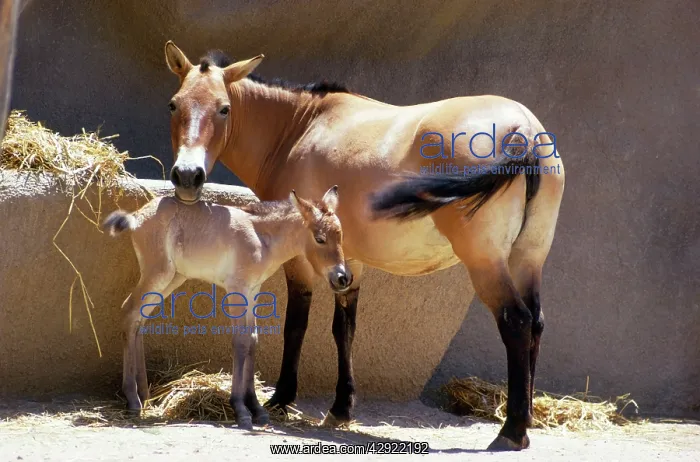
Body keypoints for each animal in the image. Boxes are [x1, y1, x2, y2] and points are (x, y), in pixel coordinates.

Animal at [102, 185, 351, 430]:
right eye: (319, 238)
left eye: (340, 236)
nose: (342, 278)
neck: (261, 237)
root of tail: (136, 216)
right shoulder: (237, 289)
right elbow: (241, 342)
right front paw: (240, 409)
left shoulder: (253, 291)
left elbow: (252, 340)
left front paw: (256, 408)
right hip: (158, 274)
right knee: (129, 312)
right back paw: (133, 400)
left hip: (172, 278)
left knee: (138, 320)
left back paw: (144, 396)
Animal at [160, 40, 565, 450]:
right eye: (174, 104)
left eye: (223, 108)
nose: (188, 176)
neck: (301, 126)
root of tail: (523, 129)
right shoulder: (348, 261)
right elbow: (345, 329)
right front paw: (341, 408)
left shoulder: (301, 258)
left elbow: (296, 323)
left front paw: (282, 398)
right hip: (527, 258)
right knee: (536, 324)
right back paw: (526, 421)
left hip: (486, 263)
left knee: (516, 322)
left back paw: (511, 431)